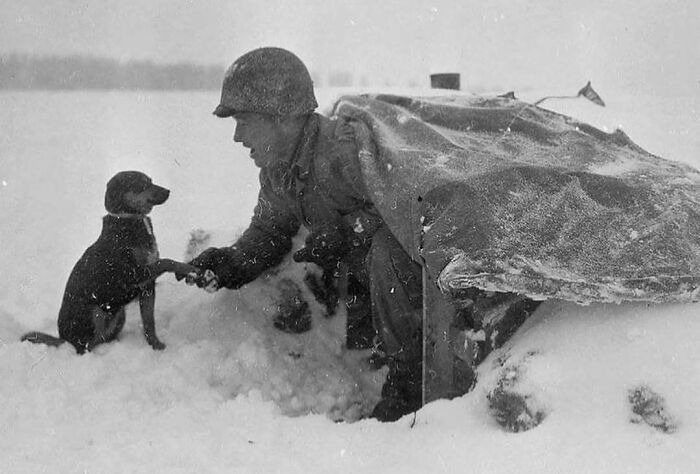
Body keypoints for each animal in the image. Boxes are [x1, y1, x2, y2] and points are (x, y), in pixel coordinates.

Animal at [21, 172, 197, 354]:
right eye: (142, 184)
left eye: (151, 181)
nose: (168, 191)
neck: (129, 219)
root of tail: (64, 340)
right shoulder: (133, 274)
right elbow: (166, 261)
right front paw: (188, 267)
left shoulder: (147, 287)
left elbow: (149, 322)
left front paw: (156, 345)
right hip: (94, 313)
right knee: (85, 346)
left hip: (119, 314)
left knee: (103, 338)